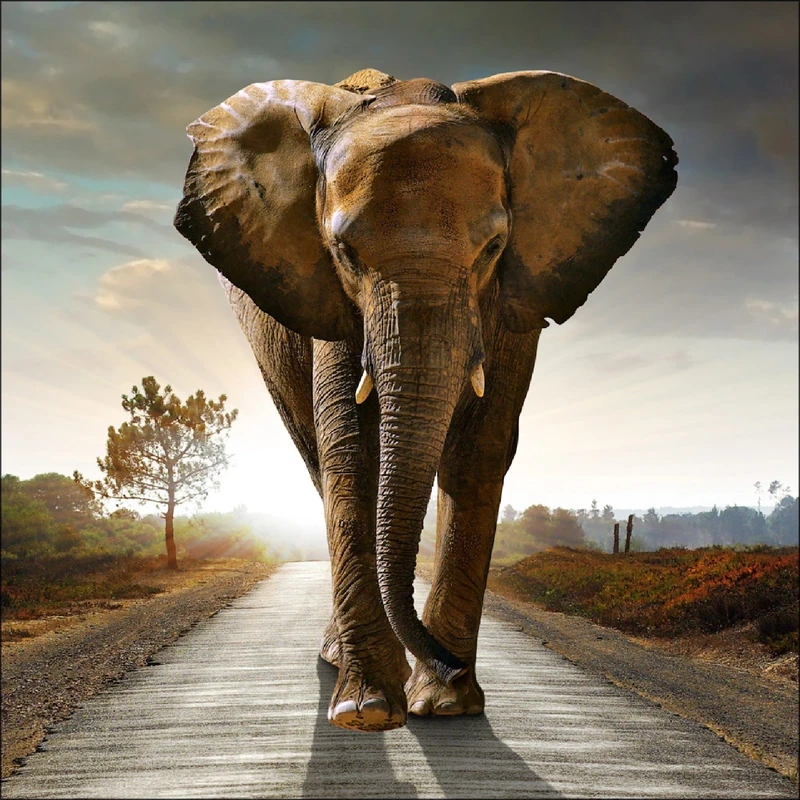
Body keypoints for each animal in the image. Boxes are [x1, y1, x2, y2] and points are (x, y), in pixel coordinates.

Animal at [174, 67, 677, 732]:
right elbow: (351, 449)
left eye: (493, 247)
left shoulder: (514, 298)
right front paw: (367, 711)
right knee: (316, 458)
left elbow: (480, 448)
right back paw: (341, 662)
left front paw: (446, 705)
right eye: (345, 252)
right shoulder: (331, 300)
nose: (448, 662)